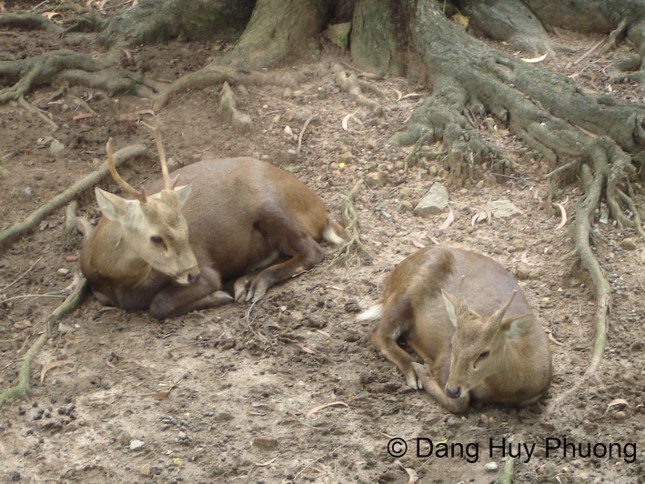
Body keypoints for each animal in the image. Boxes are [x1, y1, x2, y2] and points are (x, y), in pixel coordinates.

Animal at [78, 126, 344, 320]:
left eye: (186, 228)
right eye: (156, 237)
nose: (192, 273)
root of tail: (320, 210)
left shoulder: (206, 270)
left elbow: (158, 305)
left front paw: (218, 296)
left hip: (270, 206)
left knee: (313, 251)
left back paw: (255, 284)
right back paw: (245, 282)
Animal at [354, 248, 552, 414]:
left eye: (484, 353)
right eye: (452, 344)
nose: (452, 389)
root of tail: (392, 277)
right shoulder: (444, 362)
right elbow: (461, 403)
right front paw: (423, 370)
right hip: (404, 295)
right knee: (377, 332)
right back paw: (412, 370)